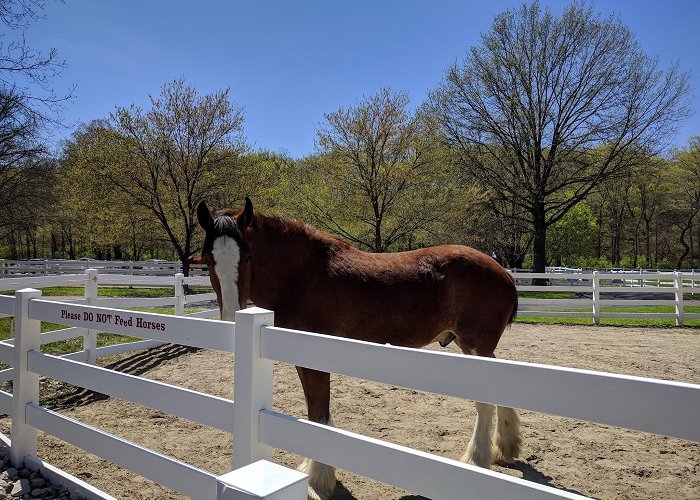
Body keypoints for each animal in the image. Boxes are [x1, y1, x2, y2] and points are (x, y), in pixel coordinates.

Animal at [197, 198, 520, 500]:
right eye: (208, 260)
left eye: (248, 257)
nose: (231, 317)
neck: (303, 277)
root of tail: (504, 274)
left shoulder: (315, 360)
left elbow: (318, 416)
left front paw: (317, 481)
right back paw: (505, 448)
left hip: (475, 348)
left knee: (484, 404)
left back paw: (477, 460)